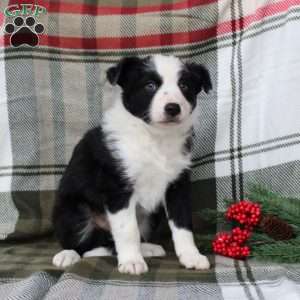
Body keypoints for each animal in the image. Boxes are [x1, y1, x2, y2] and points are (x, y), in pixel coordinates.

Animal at [52, 54, 211, 274]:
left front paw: (191, 256)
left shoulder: (177, 185)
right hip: (74, 211)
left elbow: (183, 225)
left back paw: (147, 248)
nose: (173, 108)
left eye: (184, 86)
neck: (155, 137)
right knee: (83, 245)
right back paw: (69, 254)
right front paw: (131, 261)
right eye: (150, 86)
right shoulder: (118, 188)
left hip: (151, 215)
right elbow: (127, 230)